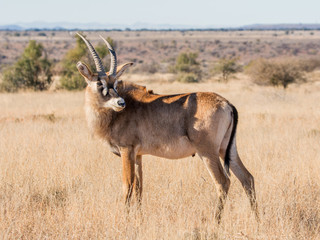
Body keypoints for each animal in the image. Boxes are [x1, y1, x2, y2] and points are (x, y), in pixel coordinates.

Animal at [76, 33, 258, 223]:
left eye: (116, 83)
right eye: (100, 84)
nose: (120, 103)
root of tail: (226, 103)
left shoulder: (127, 151)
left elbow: (128, 186)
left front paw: (125, 220)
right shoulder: (138, 155)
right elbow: (139, 187)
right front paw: (139, 219)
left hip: (208, 152)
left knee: (223, 182)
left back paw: (216, 222)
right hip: (227, 150)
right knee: (247, 178)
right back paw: (257, 220)